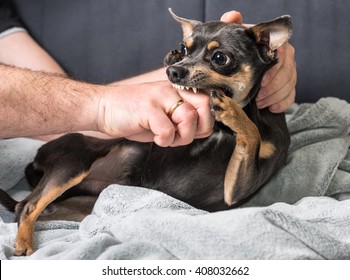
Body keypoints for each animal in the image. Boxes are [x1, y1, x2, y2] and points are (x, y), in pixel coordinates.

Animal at [0, 9, 292, 255]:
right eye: (185, 48)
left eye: (220, 58)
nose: (175, 70)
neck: (223, 129)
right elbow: (251, 132)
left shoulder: (234, 191)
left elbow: (252, 133)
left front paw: (230, 109)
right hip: (75, 163)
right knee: (27, 206)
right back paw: (24, 243)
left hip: (82, 205)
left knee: (30, 209)